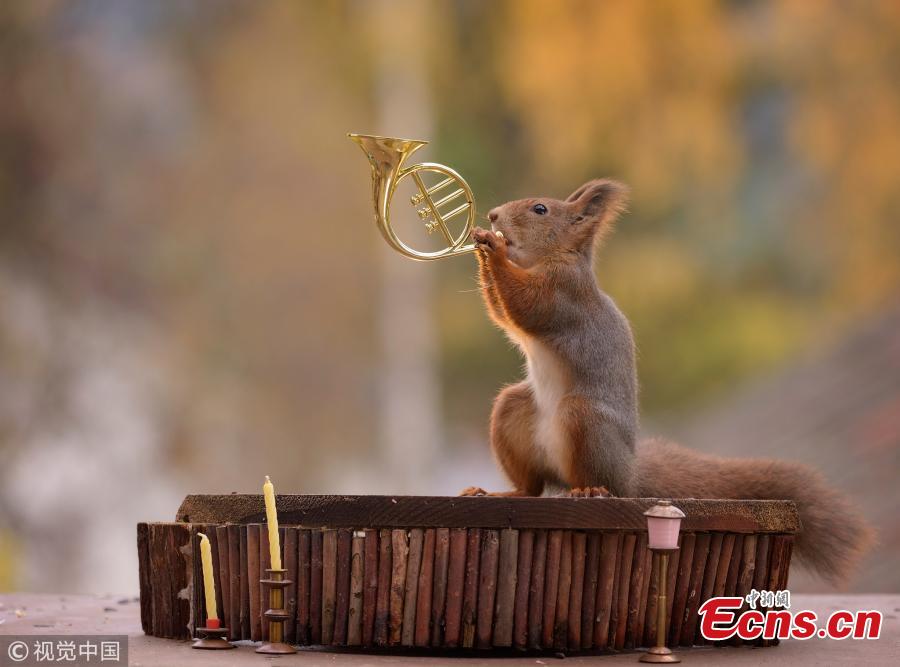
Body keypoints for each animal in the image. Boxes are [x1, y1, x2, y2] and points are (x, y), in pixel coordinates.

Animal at [462, 178, 874, 584]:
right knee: (531, 488)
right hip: (514, 411)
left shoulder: (564, 290)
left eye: (540, 209)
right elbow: (503, 314)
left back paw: (590, 489)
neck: (549, 258)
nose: (493, 215)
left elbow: (526, 306)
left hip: (584, 418)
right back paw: (500, 493)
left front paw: (494, 248)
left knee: (596, 482)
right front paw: (482, 244)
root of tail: (629, 474)